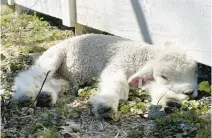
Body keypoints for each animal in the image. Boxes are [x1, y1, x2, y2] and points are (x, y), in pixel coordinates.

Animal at [12, 33, 198, 117]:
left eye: (195, 72)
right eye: (165, 76)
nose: (190, 92)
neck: (143, 56)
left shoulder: (144, 77)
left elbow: (157, 89)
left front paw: (171, 101)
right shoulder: (117, 65)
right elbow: (118, 86)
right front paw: (106, 105)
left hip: (66, 77)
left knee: (54, 82)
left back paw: (45, 96)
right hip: (53, 58)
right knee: (32, 75)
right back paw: (26, 94)